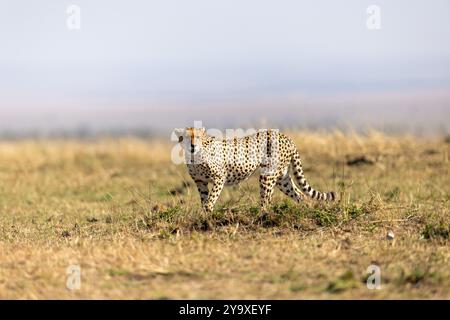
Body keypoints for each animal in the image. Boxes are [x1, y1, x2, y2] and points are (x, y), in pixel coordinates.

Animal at [174, 127, 336, 212]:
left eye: (198, 137)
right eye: (187, 137)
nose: (193, 145)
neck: (194, 156)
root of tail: (284, 135)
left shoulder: (219, 178)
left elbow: (211, 199)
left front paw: (208, 214)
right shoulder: (200, 182)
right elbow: (204, 199)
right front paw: (204, 216)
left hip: (268, 175)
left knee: (266, 199)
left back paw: (261, 216)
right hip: (282, 178)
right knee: (299, 194)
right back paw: (304, 210)